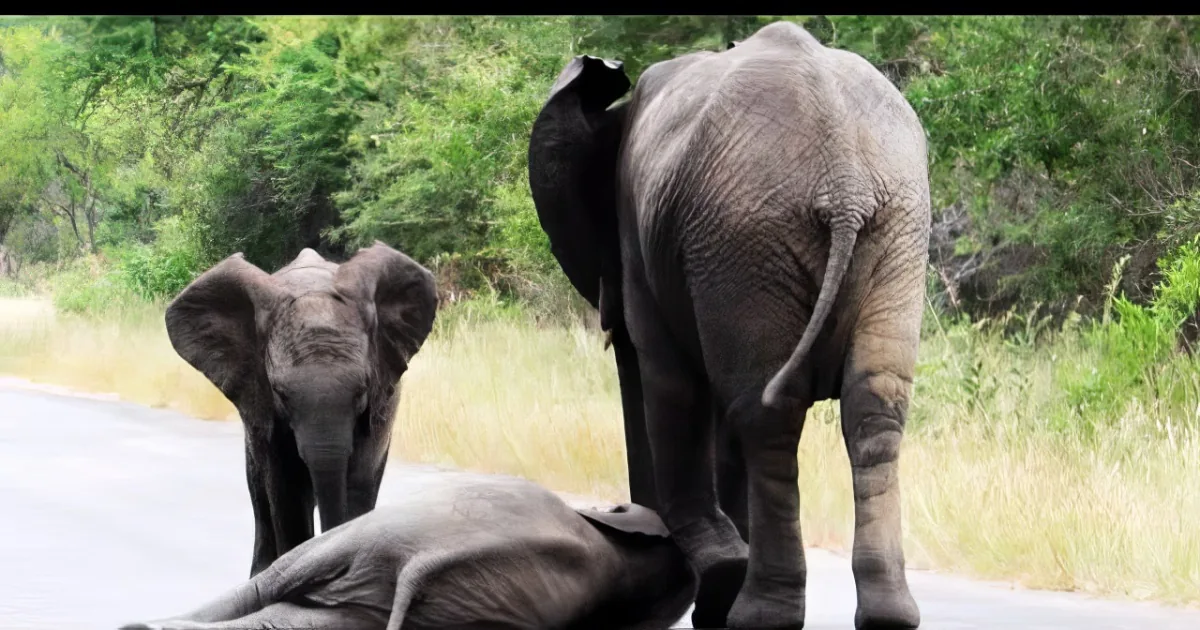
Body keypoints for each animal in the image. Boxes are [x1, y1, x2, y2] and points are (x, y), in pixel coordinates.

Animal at [165, 242, 438, 577]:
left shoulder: (379, 403)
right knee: (261, 497)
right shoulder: (263, 403)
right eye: (280, 393)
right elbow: (286, 489)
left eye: (362, 389)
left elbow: (357, 483)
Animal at [528, 20, 930, 629]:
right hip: (889, 233)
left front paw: (717, 585)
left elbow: (668, 383)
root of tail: (843, 177)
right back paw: (885, 616)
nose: (631, 521)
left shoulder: (643, 240)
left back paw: (757, 611)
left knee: (764, 413)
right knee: (874, 409)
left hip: (751, 235)